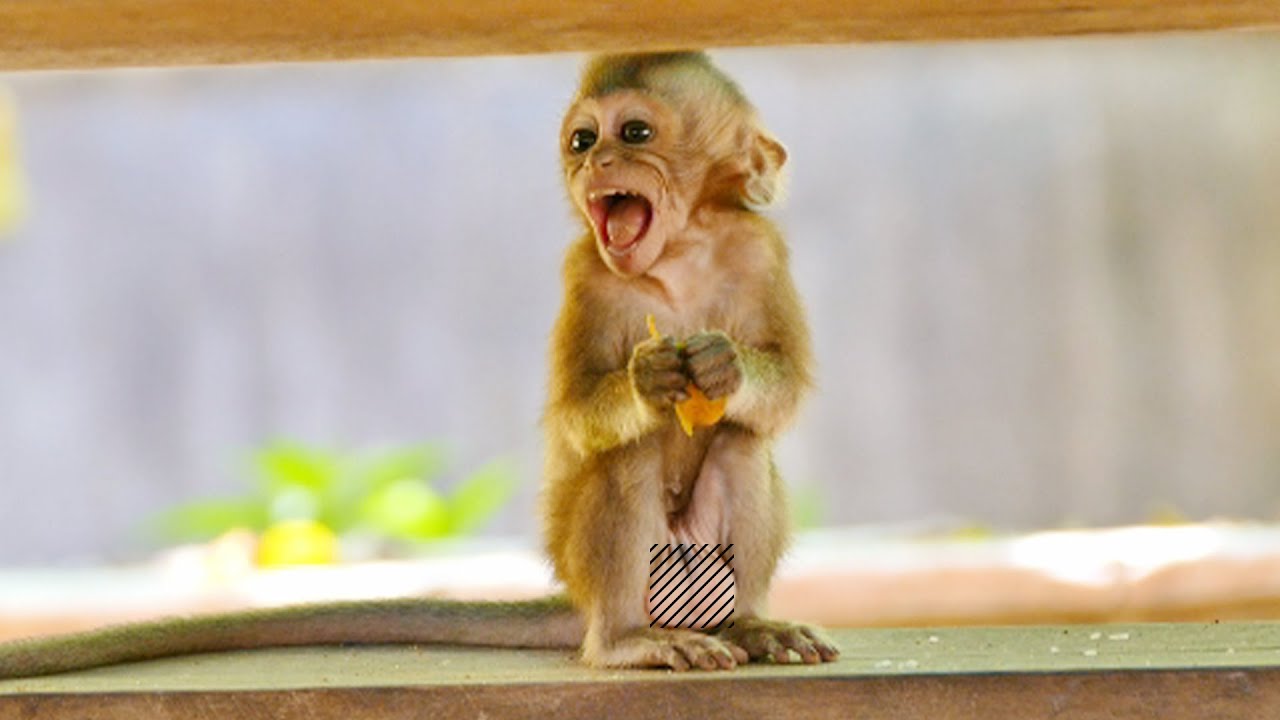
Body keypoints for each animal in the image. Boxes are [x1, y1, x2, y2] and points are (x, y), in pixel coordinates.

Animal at [0, 52, 837, 679]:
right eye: (581, 141)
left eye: (633, 132)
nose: (595, 162)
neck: (679, 256)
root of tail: (587, 602)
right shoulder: (587, 275)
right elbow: (579, 414)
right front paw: (650, 380)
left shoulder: (761, 250)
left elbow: (785, 392)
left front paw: (723, 368)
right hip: (601, 571)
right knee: (627, 461)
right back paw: (628, 643)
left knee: (740, 444)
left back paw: (751, 624)